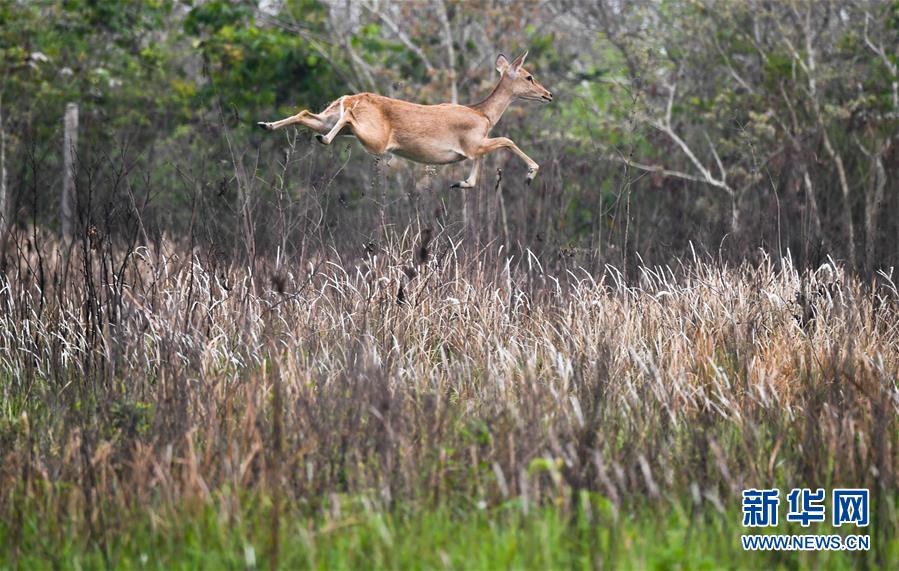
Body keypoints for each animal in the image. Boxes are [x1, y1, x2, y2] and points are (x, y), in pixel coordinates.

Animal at [256, 50, 552, 187]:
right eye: (529, 76)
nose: (548, 94)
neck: (484, 114)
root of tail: (352, 98)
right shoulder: (473, 143)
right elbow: (508, 140)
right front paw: (530, 174)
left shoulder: (474, 149)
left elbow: (476, 174)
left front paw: (461, 183)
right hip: (374, 137)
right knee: (347, 116)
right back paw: (322, 139)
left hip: (331, 117)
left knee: (306, 113)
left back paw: (266, 124)